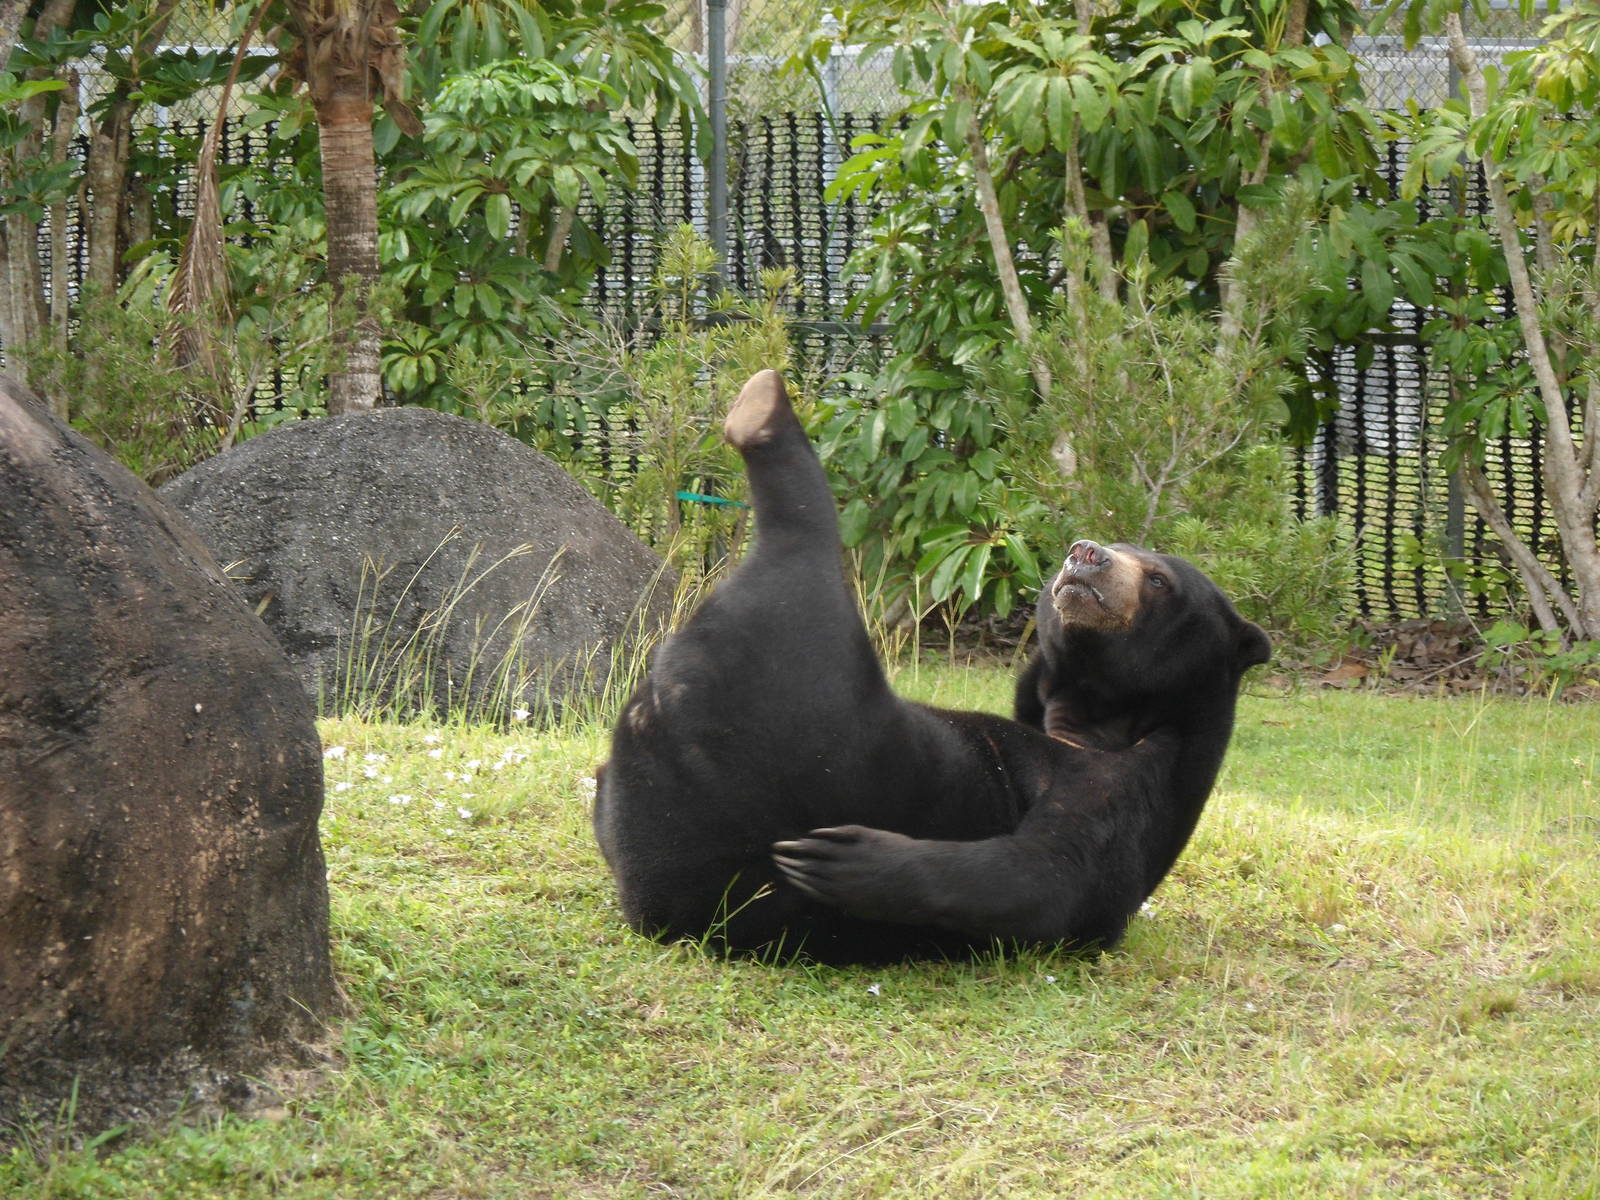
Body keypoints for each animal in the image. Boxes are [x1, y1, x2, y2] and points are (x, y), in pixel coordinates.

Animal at [592, 370, 1271, 964]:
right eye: (1109, 548)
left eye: (1158, 580)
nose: (1084, 554)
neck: (1104, 718)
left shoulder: (1122, 798)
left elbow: (1042, 878)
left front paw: (852, 861)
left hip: (801, 685)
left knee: (801, 547)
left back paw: (764, 416)